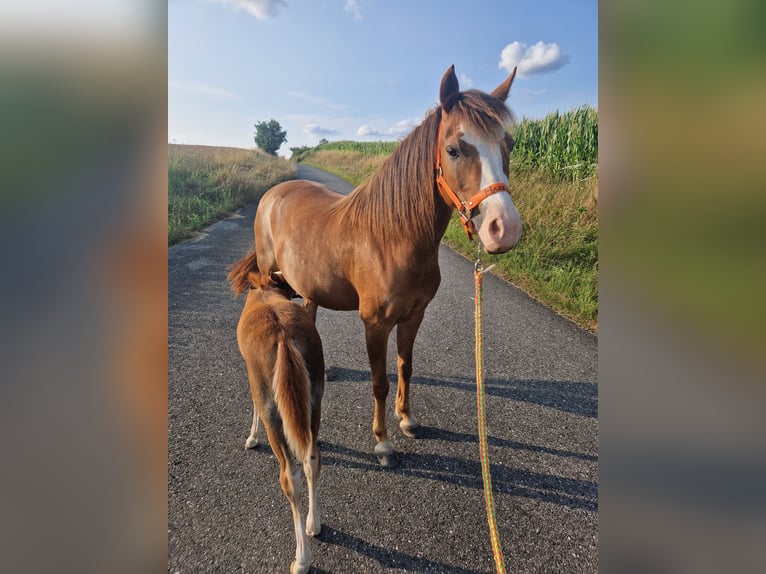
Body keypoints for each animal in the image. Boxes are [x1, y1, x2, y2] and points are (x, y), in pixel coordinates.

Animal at [231, 64, 524, 468]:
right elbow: (379, 382)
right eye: (453, 150)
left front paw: (407, 419)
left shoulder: (414, 316)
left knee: (310, 307)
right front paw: (383, 443)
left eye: (507, 145)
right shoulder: (376, 324)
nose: (504, 229)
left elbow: (405, 367)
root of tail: (274, 192)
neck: (392, 238)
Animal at [237, 274, 328, 574]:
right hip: (314, 393)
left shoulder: (255, 380)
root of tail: (283, 336)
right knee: (312, 458)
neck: (265, 289)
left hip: (271, 403)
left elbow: (253, 403)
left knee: (290, 475)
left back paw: (302, 559)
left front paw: (252, 437)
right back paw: (313, 524)